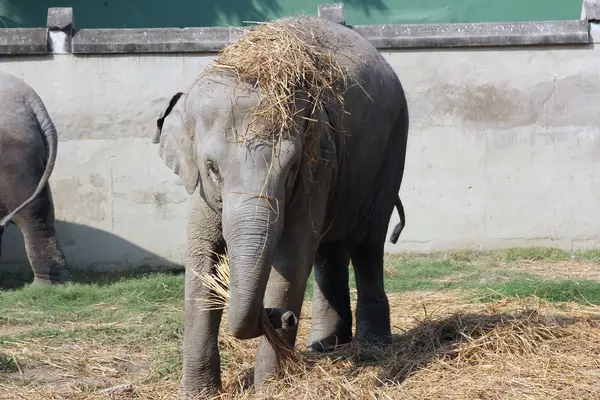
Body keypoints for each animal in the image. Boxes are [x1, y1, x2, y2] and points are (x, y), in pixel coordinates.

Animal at [152, 16, 410, 396]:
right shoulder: (200, 190)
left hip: (391, 151)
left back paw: (371, 346)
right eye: (212, 169)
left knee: (366, 243)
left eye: (290, 169)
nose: (283, 317)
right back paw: (324, 346)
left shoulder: (318, 163)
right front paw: (197, 394)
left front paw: (270, 389)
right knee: (328, 250)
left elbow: (292, 257)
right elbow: (202, 259)